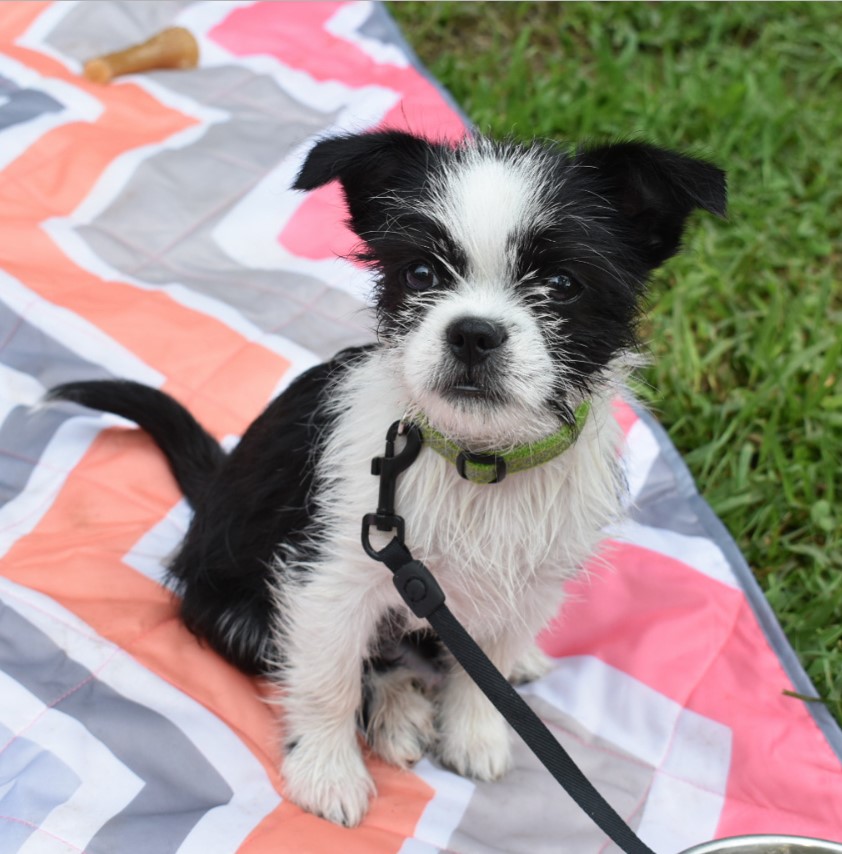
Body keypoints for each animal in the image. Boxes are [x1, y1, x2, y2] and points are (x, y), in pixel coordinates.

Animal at [50, 130, 720, 824]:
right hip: (235, 610)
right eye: (421, 273)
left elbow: (490, 663)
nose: (473, 334)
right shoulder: (329, 581)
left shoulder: (529, 579)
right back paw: (397, 713)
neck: (478, 463)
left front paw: (475, 733)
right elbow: (328, 680)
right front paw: (327, 773)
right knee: (355, 661)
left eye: (562, 283)